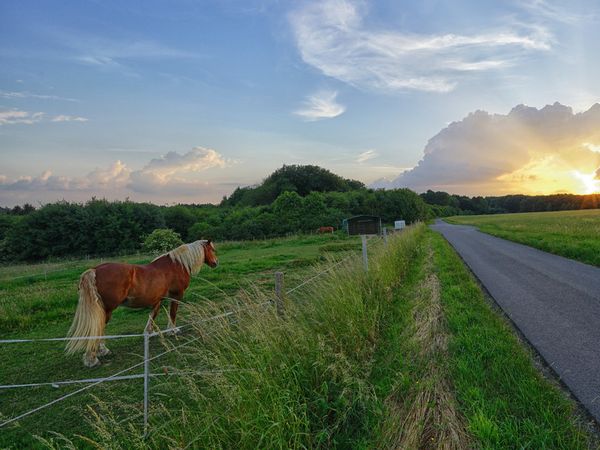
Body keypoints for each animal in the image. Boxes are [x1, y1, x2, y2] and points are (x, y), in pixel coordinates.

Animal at [65, 239, 218, 366]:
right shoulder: (176, 295)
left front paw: (149, 333)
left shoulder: (159, 299)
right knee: (98, 329)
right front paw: (173, 330)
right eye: (211, 249)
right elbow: (173, 313)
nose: (216, 263)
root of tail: (94, 270)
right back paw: (94, 357)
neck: (177, 265)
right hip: (106, 310)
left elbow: (152, 315)